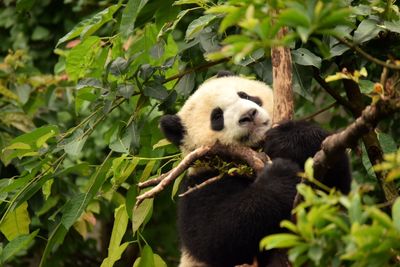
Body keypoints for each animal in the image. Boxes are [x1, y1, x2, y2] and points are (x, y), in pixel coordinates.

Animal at [159, 72, 350, 266]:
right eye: (217, 117)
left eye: (244, 95)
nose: (249, 115)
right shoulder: (200, 185)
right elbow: (215, 234)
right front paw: (280, 174)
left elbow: (332, 192)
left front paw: (289, 139)